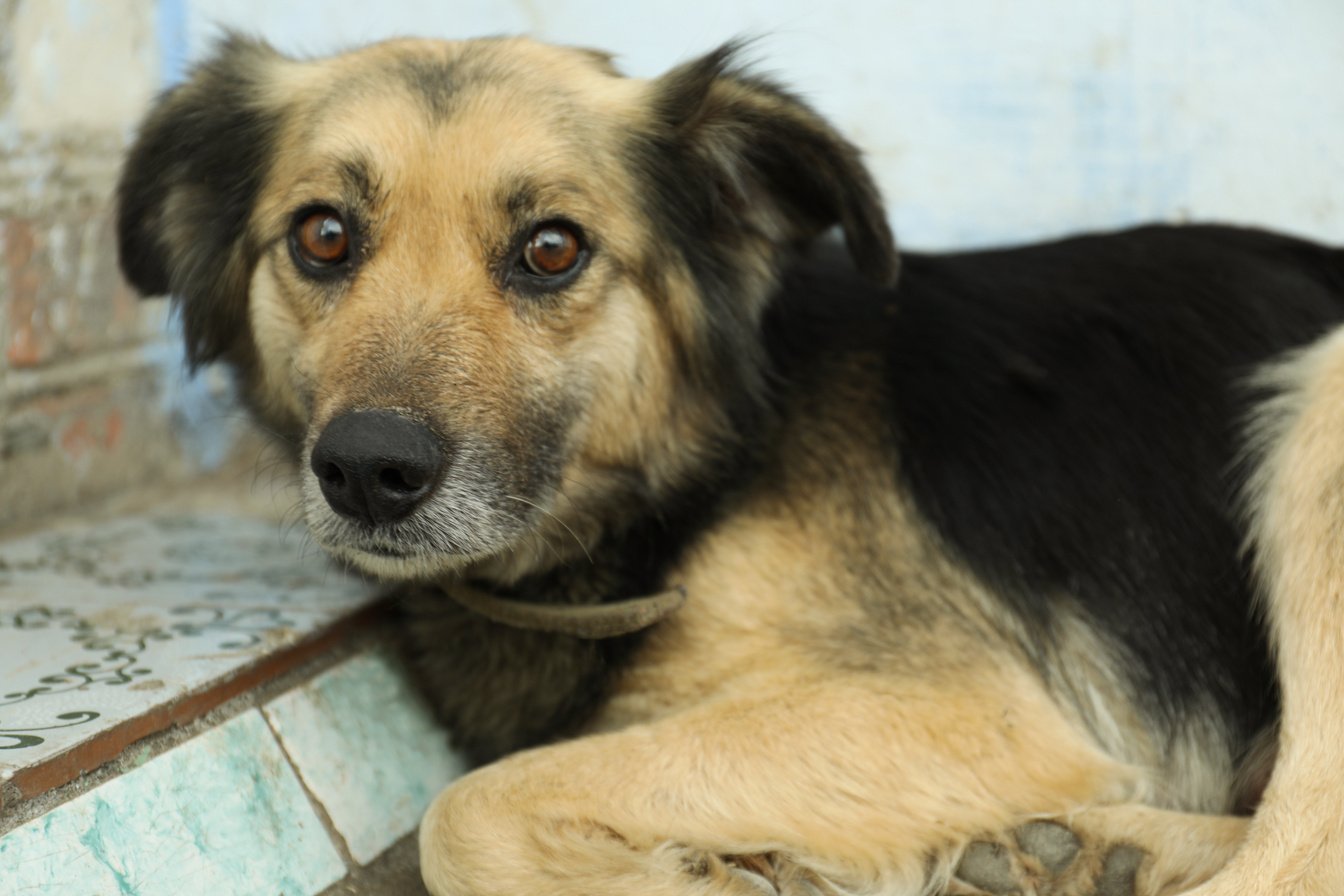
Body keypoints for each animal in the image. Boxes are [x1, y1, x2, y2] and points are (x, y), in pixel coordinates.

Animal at [115, 35, 1344, 896]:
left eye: (552, 248)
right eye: (323, 235)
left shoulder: (972, 708)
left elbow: (461, 810)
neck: (690, 479)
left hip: (1318, 412)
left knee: (1301, 851)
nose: (369, 469)